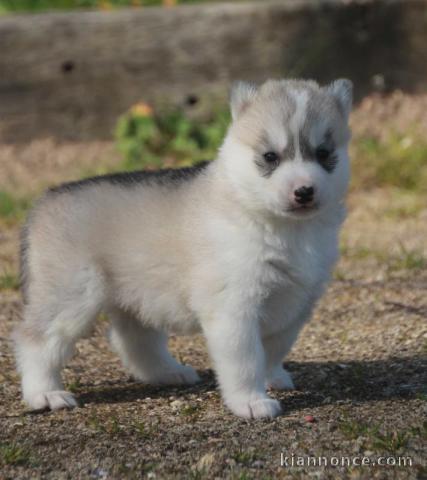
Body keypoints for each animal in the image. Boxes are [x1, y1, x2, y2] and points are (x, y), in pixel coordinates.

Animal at [14, 79, 354, 416]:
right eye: (270, 157)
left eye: (324, 153)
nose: (304, 191)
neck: (283, 226)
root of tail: (44, 200)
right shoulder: (234, 306)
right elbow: (246, 360)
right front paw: (250, 400)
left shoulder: (297, 302)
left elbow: (274, 348)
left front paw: (272, 377)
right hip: (71, 296)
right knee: (36, 341)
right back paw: (44, 393)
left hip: (137, 296)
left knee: (134, 342)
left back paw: (168, 372)